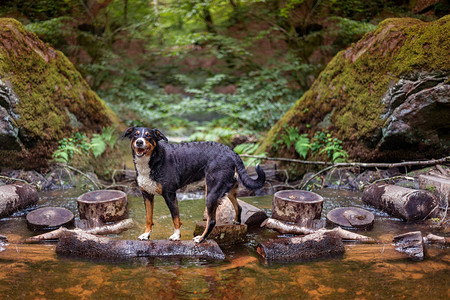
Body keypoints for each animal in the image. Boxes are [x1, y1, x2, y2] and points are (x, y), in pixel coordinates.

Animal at [123, 127, 266, 243]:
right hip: (228, 189)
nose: (139, 142)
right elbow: (148, 218)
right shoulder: (147, 195)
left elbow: (175, 218)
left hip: (211, 193)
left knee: (212, 221)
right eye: (135, 135)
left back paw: (201, 238)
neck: (153, 160)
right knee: (238, 207)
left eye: (148, 136)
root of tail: (230, 151)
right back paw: (236, 222)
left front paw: (176, 236)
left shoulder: (169, 194)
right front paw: (146, 235)